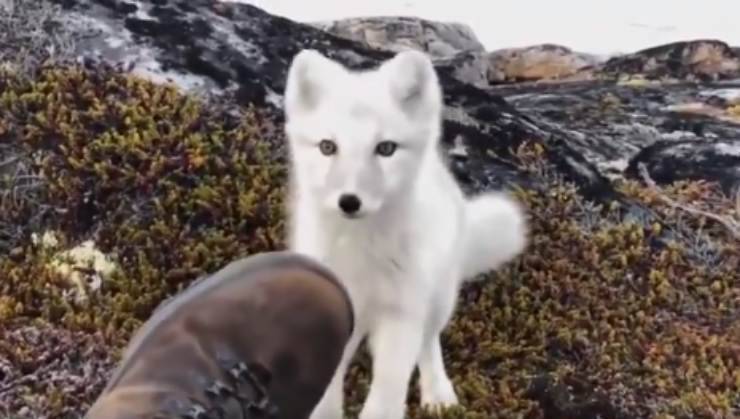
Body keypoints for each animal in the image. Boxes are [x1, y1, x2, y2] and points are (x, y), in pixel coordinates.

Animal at [282, 48, 529, 419]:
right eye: (327, 147)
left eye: (386, 148)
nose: (349, 201)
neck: (362, 253)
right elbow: (326, 394)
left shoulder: (401, 315)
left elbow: (385, 395)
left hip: (437, 299)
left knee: (428, 343)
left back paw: (438, 393)